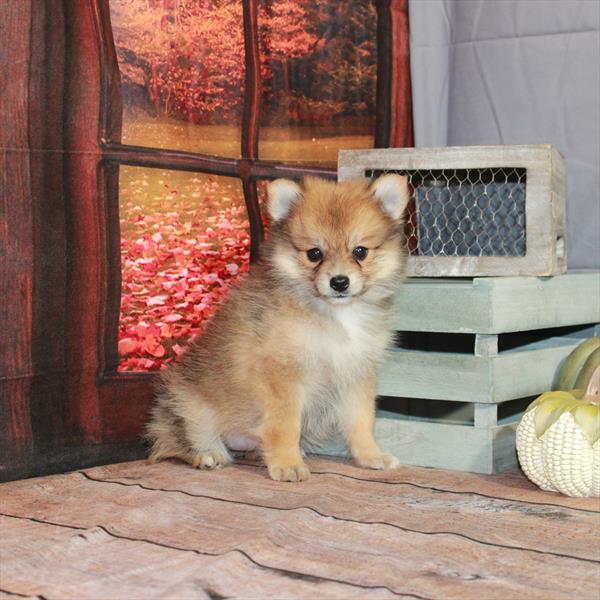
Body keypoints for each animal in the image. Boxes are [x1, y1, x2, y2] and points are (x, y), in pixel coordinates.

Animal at [146, 175, 408, 482]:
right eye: (314, 253)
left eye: (360, 252)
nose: (339, 282)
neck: (335, 316)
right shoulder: (282, 376)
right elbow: (285, 426)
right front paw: (288, 464)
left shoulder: (357, 374)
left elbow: (362, 421)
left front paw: (371, 455)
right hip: (190, 408)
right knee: (176, 441)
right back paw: (207, 455)